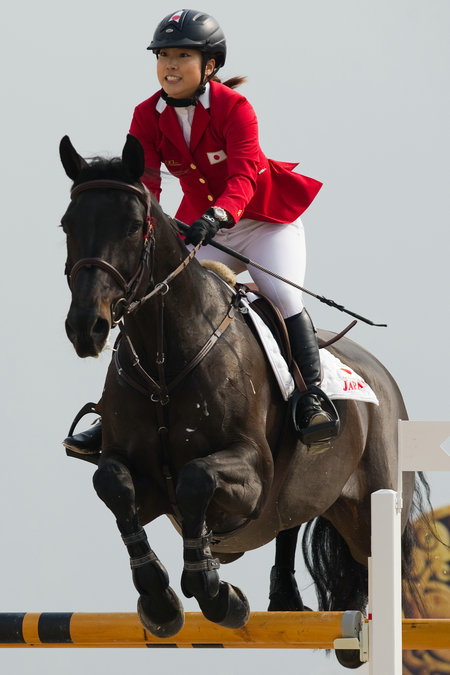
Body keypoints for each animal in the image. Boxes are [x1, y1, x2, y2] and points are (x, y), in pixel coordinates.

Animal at [59, 135, 422, 668]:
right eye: (68, 225)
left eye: (131, 226)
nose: (87, 327)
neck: (165, 359)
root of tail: (381, 375)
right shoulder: (140, 480)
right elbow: (114, 483)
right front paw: (161, 601)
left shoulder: (251, 472)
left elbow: (196, 478)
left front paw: (216, 594)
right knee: (291, 521)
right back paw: (285, 599)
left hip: (373, 508)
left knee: (375, 562)